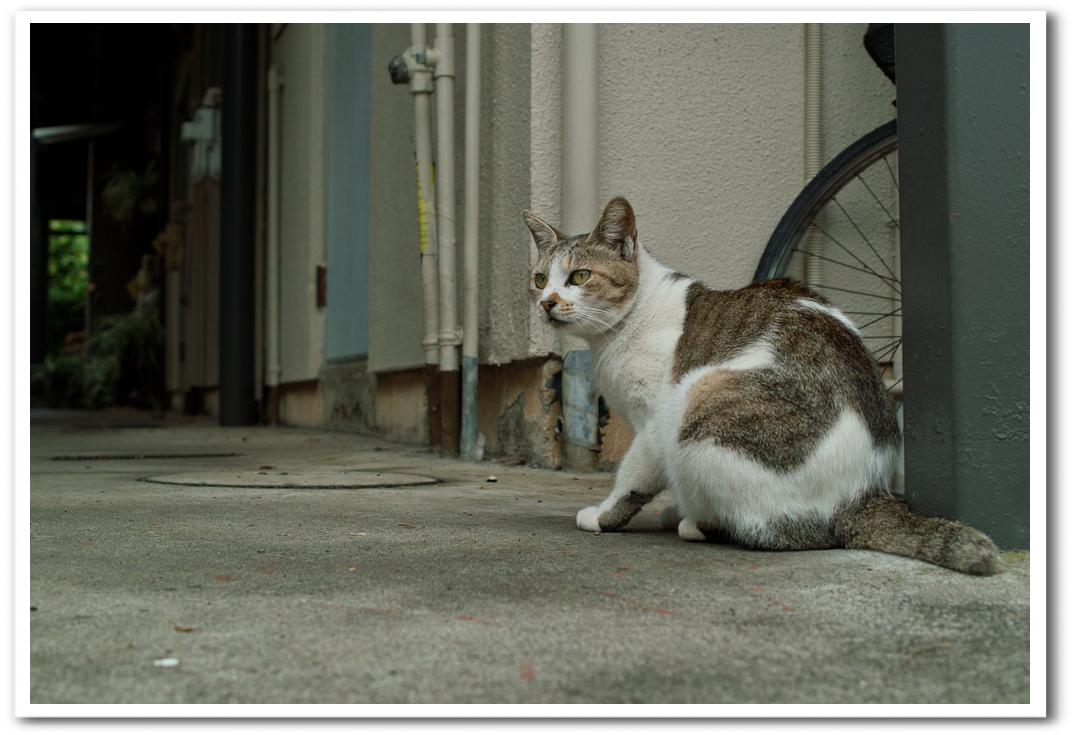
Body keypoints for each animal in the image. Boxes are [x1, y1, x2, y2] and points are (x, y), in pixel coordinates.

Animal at [523, 195, 1000, 575]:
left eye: (580, 277)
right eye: (540, 279)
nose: (547, 303)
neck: (625, 323)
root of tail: (866, 491)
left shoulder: (654, 422)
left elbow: (632, 475)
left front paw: (604, 516)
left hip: (700, 400)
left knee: (792, 533)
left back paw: (699, 523)